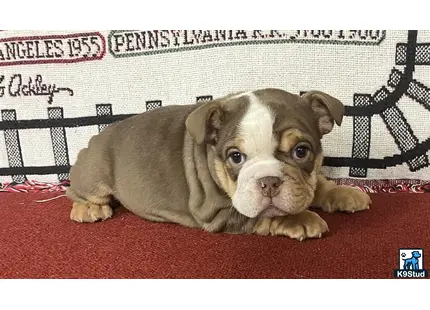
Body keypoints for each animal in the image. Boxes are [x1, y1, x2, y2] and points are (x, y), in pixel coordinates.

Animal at [66, 88, 370, 241]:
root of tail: (96, 136)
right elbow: (261, 215)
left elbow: (316, 185)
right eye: (235, 157)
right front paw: (301, 219)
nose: (269, 182)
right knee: (78, 192)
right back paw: (88, 208)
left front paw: (343, 192)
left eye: (301, 151)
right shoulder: (218, 212)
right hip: (95, 173)